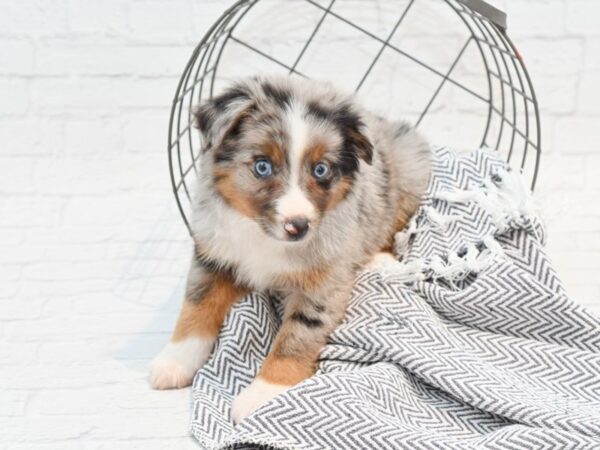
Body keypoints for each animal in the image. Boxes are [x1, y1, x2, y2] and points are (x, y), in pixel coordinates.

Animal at [150, 75, 432, 424]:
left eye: (321, 170)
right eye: (262, 167)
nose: (298, 226)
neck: (265, 237)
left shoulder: (324, 281)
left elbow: (297, 335)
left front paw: (264, 393)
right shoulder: (213, 253)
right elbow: (196, 307)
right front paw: (175, 360)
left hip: (409, 174)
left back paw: (379, 259)